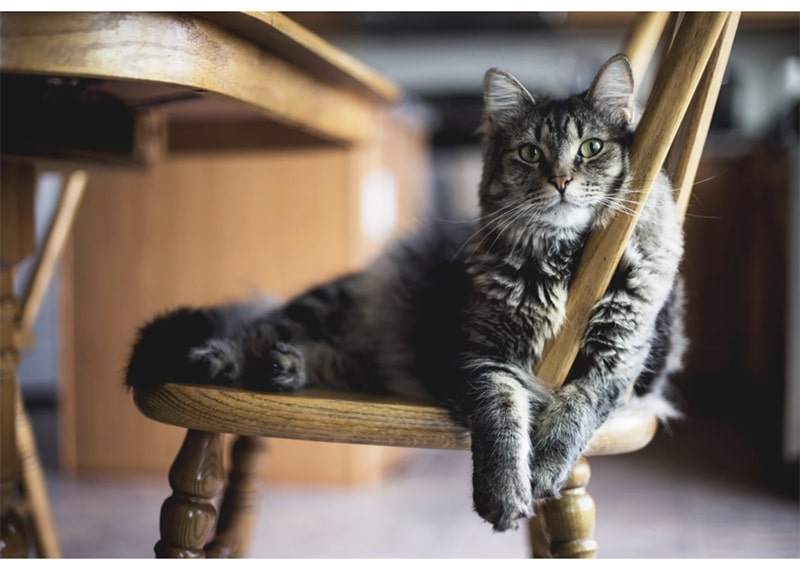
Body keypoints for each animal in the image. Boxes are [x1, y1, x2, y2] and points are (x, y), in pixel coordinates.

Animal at [126, 53, 688, 532]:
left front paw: (546, 468)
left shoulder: (619, 361)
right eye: (530, 153)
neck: (564, 260)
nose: (562, 180)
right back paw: (220, 359)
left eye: (591, 147)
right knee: (255, 329)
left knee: (328, 357)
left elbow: (576, 410)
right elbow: (502, 421)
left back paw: (286, 367)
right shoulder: (480, 357)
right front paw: (505, 492)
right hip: (323, 309)